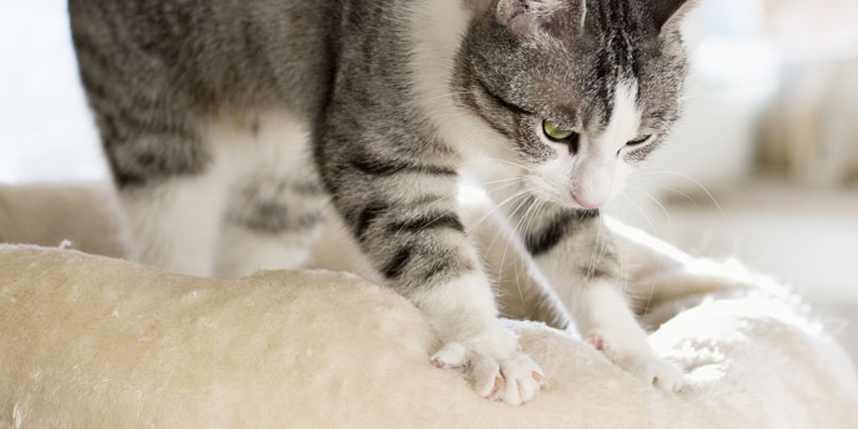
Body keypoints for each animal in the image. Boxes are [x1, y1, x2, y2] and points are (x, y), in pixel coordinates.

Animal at [68, 0, 696, 404]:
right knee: (172, 213)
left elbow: (575, 241)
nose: (595, 191)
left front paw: (634, 353)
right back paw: (182, 285)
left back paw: (249, 290)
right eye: (556, 129)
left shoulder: (536, 174)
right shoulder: (376, 139)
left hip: (284, 157)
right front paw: (489, 347)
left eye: (637, 140)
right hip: (150, 107)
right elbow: (426, 242)